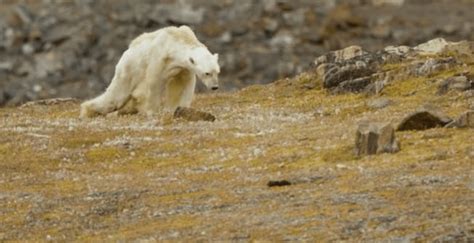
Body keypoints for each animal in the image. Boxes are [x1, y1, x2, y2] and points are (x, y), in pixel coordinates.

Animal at [81, 25, 220, 118]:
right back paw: (88, 110)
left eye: (217, 72)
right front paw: (152, 111)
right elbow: (154, 82)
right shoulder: (159, 57)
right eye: (207, 73)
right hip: (128, 69)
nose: (215, 87)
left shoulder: (183, 68)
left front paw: (180, 108)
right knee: (115, 98)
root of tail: (126, 51)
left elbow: (182, 85)